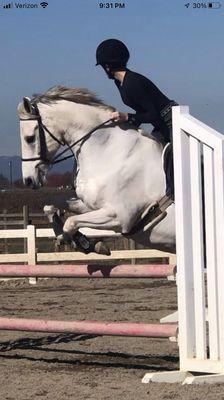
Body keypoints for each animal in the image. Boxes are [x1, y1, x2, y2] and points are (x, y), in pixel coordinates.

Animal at [17, 85, 175, 252]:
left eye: (29, 139)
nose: (28, 180)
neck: (109, 152)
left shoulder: (119, 217)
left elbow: (71, 222)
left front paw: (85, 243)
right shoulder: (89, 206)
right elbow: (51, 206)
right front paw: (74, 239)